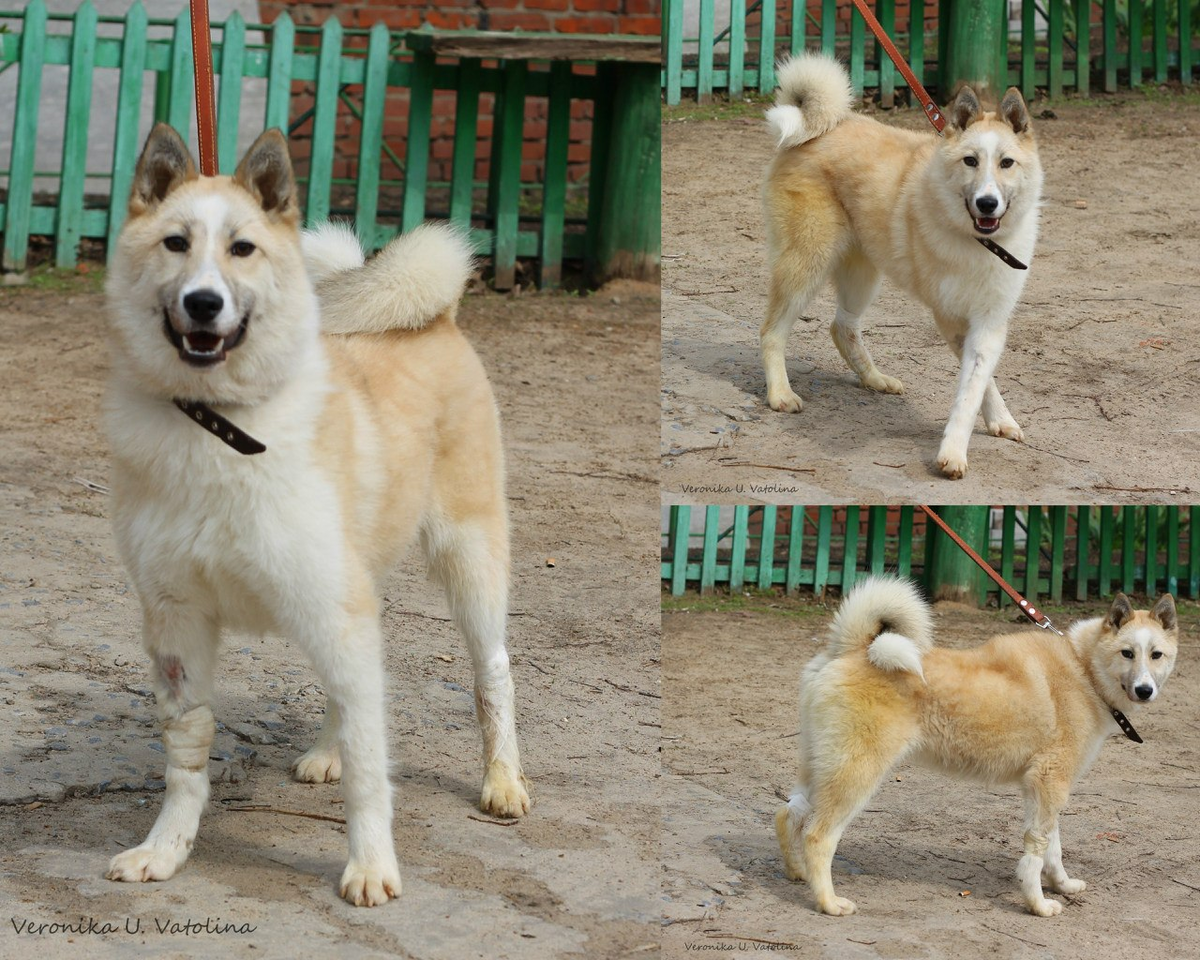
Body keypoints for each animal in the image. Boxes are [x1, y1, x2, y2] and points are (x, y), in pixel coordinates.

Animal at [105, 125, 528, 907]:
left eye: (242, 248)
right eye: (177, 243)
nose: (203, 303)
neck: (219, 424)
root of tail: (438, 316)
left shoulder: (333, 608)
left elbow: (370, 766)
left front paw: (371, 866)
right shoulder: (178, 624)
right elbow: (187, 755)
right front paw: (164, 851)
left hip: (467, 565)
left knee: (492, 674)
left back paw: (503, 781)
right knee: (348, 691)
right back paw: (327, 750)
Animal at [763, 54, 1046, 477]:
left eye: (1007, 163)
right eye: (971, 161)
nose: (987, 203)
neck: (977, 241)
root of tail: (820, 127)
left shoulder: (989, 322)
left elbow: (980, 382)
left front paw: (998, 420)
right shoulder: (952, 320)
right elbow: (968, 393)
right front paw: (954, 453)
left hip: (863, 274)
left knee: (842, 327)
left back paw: (874, 379)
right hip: (806, 264)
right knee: (772, 332)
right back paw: (780, 393)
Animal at [777, 578, 1180, 916]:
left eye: (1156, 655)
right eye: (1127, 653)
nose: (1145, 690)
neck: (1084, 669)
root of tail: (853, 648)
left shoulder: (1044, 789)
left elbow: (1054, 847)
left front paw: (1062, 885)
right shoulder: (1049, 782)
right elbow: (1036, 852)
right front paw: (1038, 904)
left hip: (823, 766)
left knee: (788, 814)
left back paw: (797, 873)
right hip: (856, 776)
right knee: (817, 836)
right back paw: (828, 902)